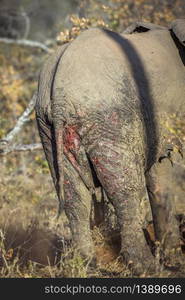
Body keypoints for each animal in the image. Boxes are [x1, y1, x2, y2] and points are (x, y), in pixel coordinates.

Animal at [35, 18, 185, 274]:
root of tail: (60, 91)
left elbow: (160, 173)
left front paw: (175, 259)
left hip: (49, 127)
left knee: (75, 196)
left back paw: (87, 265)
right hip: (110, 118)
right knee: (126, 190)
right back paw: (146, 268)